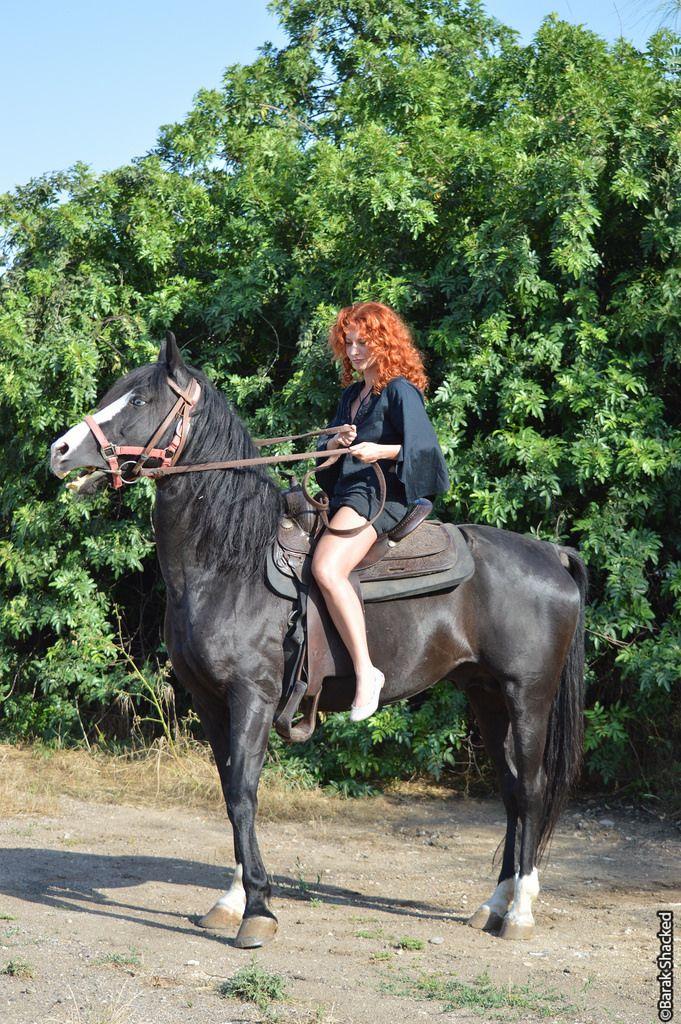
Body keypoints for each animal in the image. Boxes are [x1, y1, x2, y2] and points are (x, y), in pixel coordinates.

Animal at [50, 337, 585, 950]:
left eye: (139, 399)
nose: (59, 451)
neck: (230, 563)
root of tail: (552, 555)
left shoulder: (253, 697)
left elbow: (243, 791)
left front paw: (259, 909)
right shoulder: (211, 701)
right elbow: (228, 790)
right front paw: (232, 901)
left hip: (528, 696)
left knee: (532, 790)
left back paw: (519, 912)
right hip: (487, 694)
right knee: (512, 789)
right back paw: (493, 904)